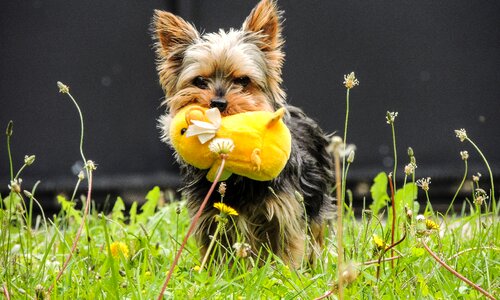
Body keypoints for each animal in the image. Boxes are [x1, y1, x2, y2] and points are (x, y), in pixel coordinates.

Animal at [151, 0, 332, 268]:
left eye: (243, 81)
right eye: (200, 81)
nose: (218, 102)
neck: (235, 175)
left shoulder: (284, 214)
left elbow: (286, 252)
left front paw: (284, 274)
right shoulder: (211, 216)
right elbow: (217, 255)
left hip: (316, 205)